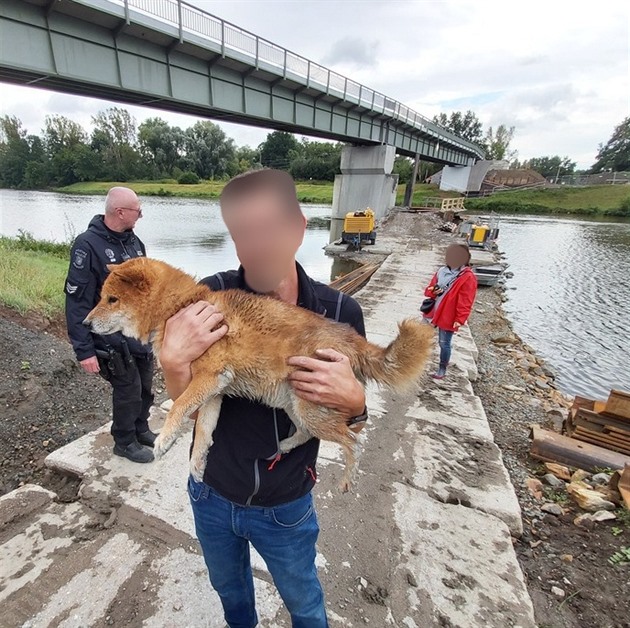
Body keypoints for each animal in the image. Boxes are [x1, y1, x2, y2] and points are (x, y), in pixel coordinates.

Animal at [85, 256, 434, 490]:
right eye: (102, 297)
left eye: (111, 299)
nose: (86, 324)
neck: (181, 305)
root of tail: (355, 340)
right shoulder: (214, 393)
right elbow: (203, 433)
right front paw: (197, 465)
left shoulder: (209, 378)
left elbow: (179, 407)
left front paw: (165, 439)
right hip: (293, 403)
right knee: (309, 433)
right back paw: (286, 446)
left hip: (310, 405)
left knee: (352, 440)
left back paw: (348, 476)